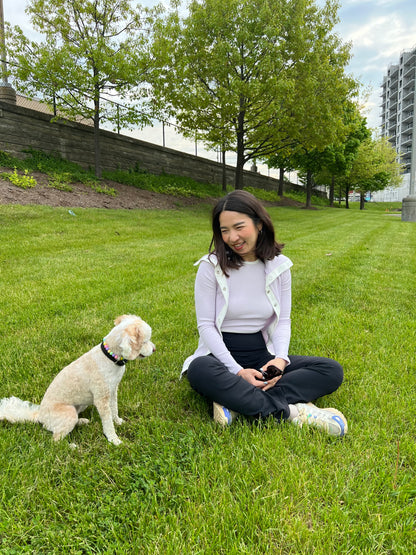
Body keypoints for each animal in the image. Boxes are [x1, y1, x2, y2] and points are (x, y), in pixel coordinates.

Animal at [0, 314, 155, 446]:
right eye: (145, 341)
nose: (154, 349)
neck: (110, 357)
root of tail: (40, 416)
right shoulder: (101, 399)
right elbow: (107, 422)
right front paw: (114, 440)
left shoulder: (112, 391)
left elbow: (114, 409)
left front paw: (118, 421)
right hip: (68, 412)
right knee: (55, 440)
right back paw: (71, 446)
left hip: (80, 406)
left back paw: (81, 422)